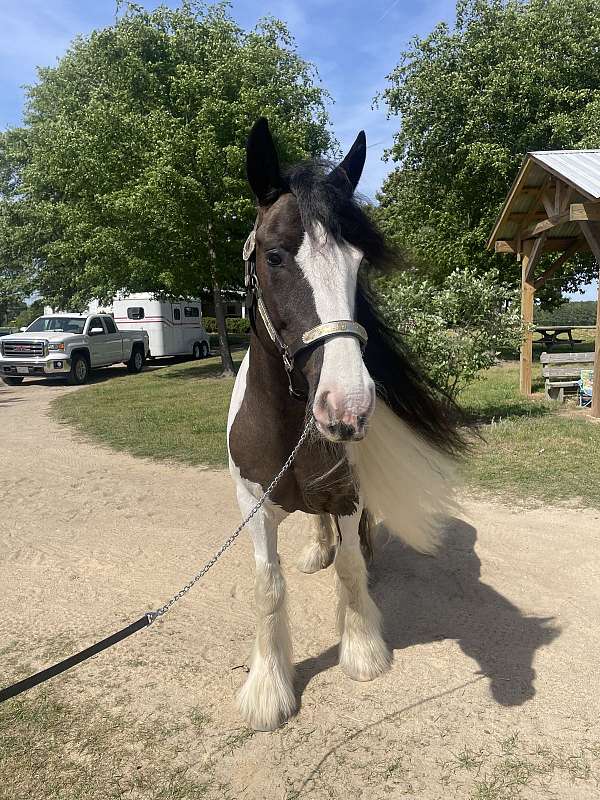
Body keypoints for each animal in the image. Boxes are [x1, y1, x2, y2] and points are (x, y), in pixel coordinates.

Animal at [227, 118, 462, 731]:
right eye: (274, 257)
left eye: (359, 263)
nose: (348, 406)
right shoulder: (251, 503)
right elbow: (267, 586)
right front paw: (269, 689)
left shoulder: (349, 493)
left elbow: (352, 565)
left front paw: (361, 650)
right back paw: (315, 548)